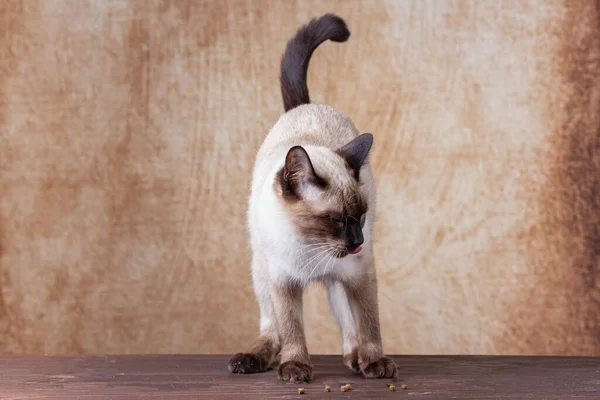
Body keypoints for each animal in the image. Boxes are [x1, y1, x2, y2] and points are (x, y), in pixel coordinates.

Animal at [227, 11, 396, 382]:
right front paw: (296, 367)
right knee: (271, 328)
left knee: (347, 321)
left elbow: (369, 324)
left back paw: (356, 359)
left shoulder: (359, 274)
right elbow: (291, 329)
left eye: (361, 216)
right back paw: (252, 359)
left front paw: (375, 362)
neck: (311, 247)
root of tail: (306, 106)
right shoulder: (283, 281)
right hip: (261, 272)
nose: (358, 240)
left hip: (339, 279)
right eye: (334, 220)